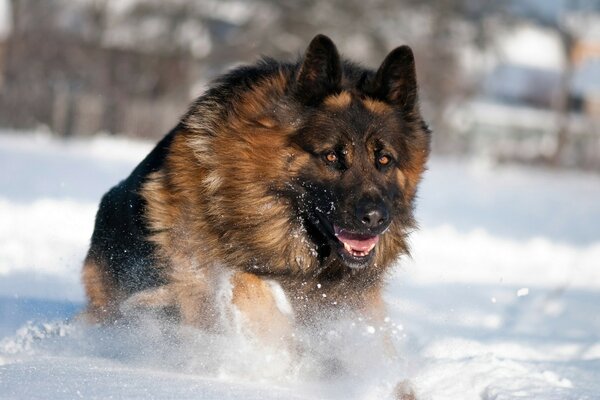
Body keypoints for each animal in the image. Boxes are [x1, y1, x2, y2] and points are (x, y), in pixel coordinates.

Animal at [82, 33, 428, 390]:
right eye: (332, 157)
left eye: (384, 159)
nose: (375, 219)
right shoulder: (202, 271)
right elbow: (251, 291)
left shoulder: (355, 301)